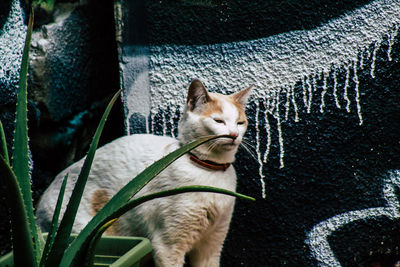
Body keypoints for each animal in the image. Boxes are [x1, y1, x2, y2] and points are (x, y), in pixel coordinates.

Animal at [36, 78, 252, 266]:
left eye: (240, 123)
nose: (234, 135)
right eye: (218, 121)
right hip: (84, 233)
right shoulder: (167, 246)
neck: (209, 169)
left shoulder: (212, 244)